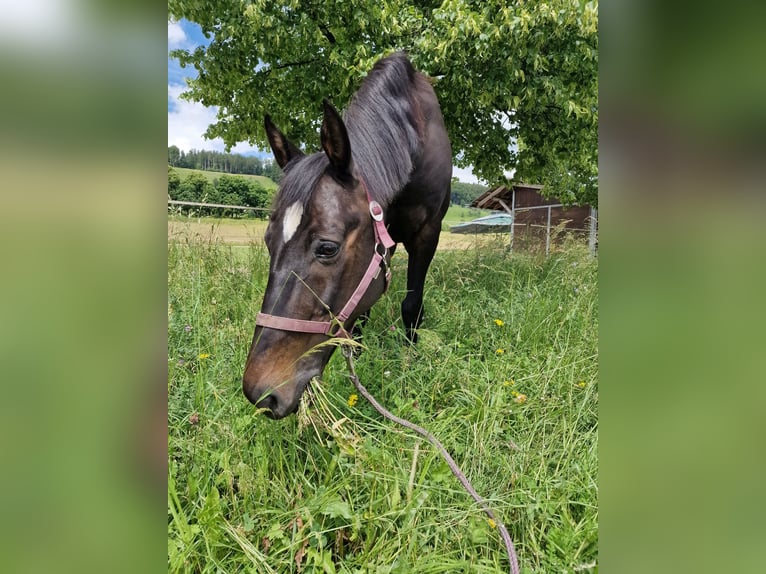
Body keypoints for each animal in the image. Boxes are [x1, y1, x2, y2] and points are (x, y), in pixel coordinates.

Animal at [243, 53, 452, 418]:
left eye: (327, 248)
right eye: (269, 242)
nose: (261, 393)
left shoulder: (428, 234)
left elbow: (411, 305)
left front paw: (410, 359)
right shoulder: (381, 242)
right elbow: (362, 308)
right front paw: (358, 351)